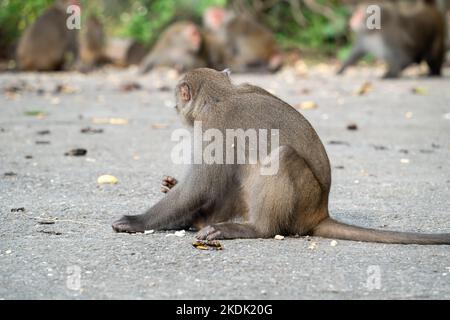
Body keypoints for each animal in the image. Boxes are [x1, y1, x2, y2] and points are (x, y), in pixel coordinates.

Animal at [112, 66, 450, 244]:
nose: (173, 105)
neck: (220, 95)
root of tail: (320, 212)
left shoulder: (213, 128)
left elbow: (200, 185)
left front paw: (138, 220)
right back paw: (202, 219)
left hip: (302, 201)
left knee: (282, 157)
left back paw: (252, 229)